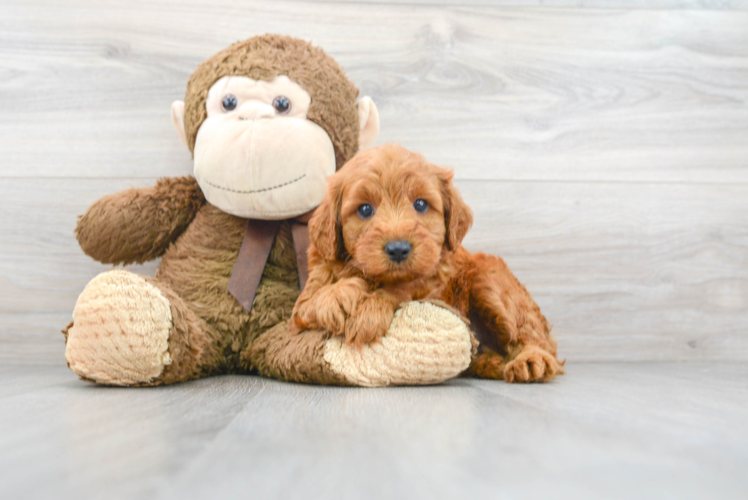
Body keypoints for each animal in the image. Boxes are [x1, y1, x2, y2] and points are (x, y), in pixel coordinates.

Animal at [292, 145, 560, 382]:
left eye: (420, 204)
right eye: (365, 209)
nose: (398, 249)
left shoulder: (433, 285)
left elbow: (402, 289)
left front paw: (370, 310)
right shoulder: (302, 305)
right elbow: (312, 302)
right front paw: (338, 296)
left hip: (489, 279)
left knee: (531, 337)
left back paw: (531, 360)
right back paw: (490, 363)